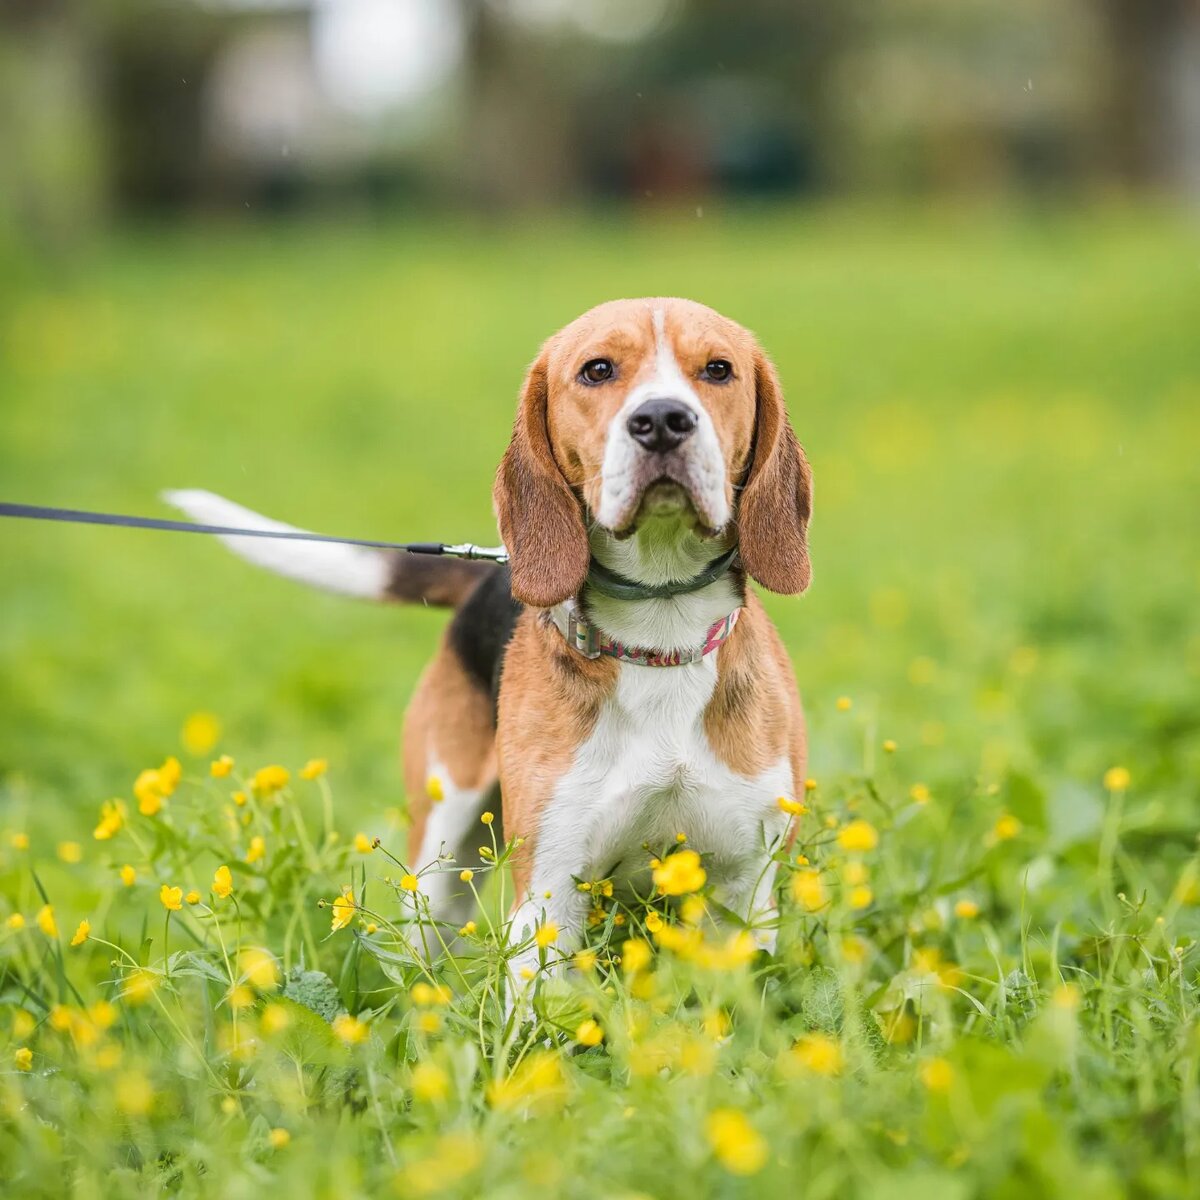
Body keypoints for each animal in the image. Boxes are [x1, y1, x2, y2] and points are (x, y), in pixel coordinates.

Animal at [169, 295, 811, 979]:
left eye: (718, 370)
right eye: (597, 370)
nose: (662, 420)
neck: (661, 636)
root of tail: (491, 571)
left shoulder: (744, 891)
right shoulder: (549, 894)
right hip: (439, 856)